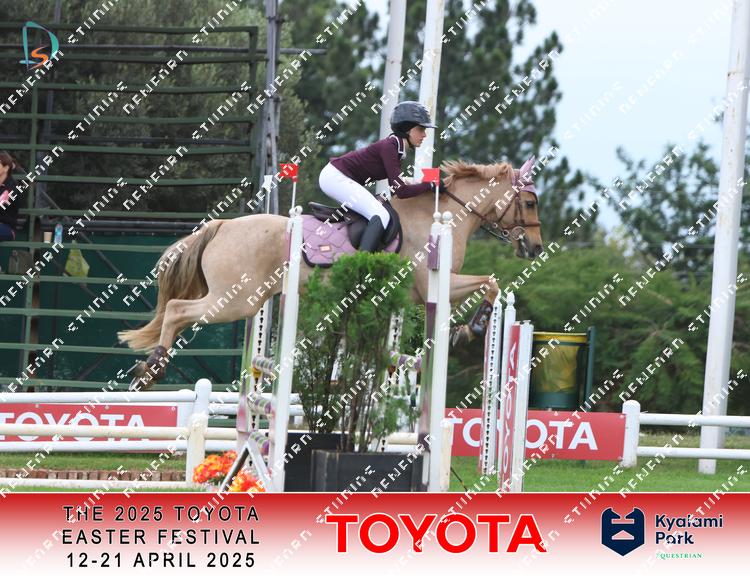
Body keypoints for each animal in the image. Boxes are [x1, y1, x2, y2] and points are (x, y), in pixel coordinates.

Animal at [118, 157, 543, 389]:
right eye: (529, 201)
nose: (535, 248)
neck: (440, 218)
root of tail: (222, 226)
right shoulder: (431, 286)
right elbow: (490, 282)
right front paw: (472, 327)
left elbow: (490, 283)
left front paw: (463, 329)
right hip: (235, 300)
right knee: (176, 310)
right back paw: (151, 370)